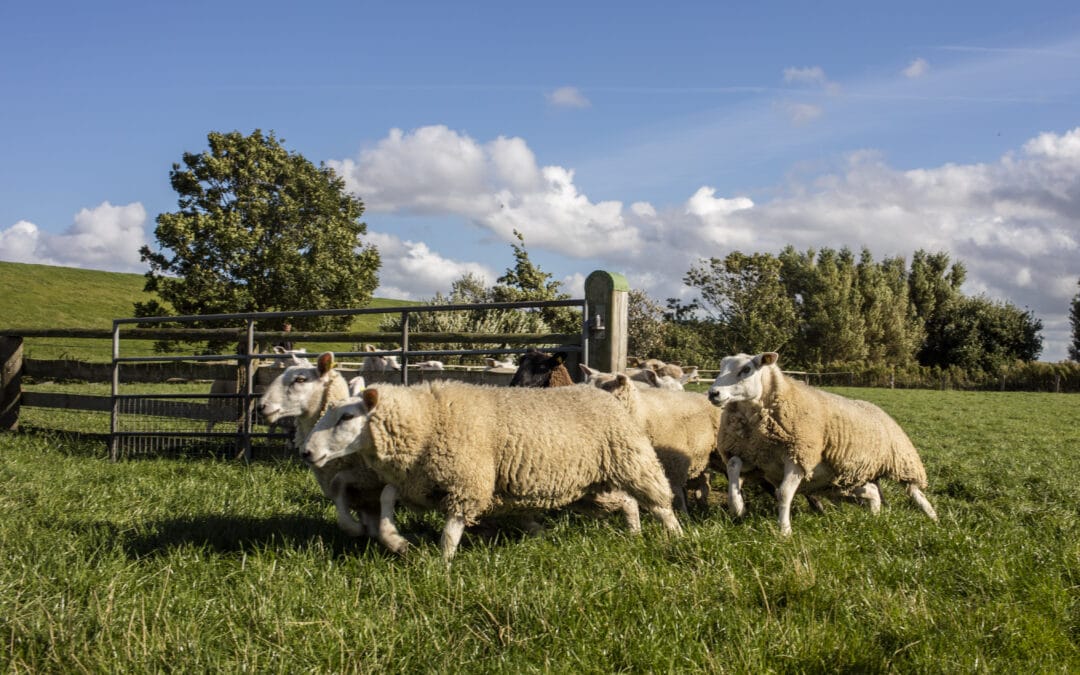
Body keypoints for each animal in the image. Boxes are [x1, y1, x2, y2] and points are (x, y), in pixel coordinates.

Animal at [302, 382, 682, 561]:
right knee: (626, 503)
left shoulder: (468, 483)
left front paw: (442, 566)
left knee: (659, 502)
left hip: (632, 459)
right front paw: (395, 540)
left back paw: (675, 537)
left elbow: (450, 533)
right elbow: (384, 498)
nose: (307, 452)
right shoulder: (421, 481)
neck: (428, 419)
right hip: (586, 487)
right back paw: (633, 533)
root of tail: (603, 394)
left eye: (347, 417)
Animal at [708, 349, 937, 533]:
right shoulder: (751, 457)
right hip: (845, 480)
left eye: (746, 369)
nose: (713, 393)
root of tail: (878, 409)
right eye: (720, 368)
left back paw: (933, 518)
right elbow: (733, 467)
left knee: (915, 492)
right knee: (873, 492)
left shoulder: (799, 457)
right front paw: (737, 506)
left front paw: (784, 531)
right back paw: (875, 517)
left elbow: (783, 494)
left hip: (903, 461)